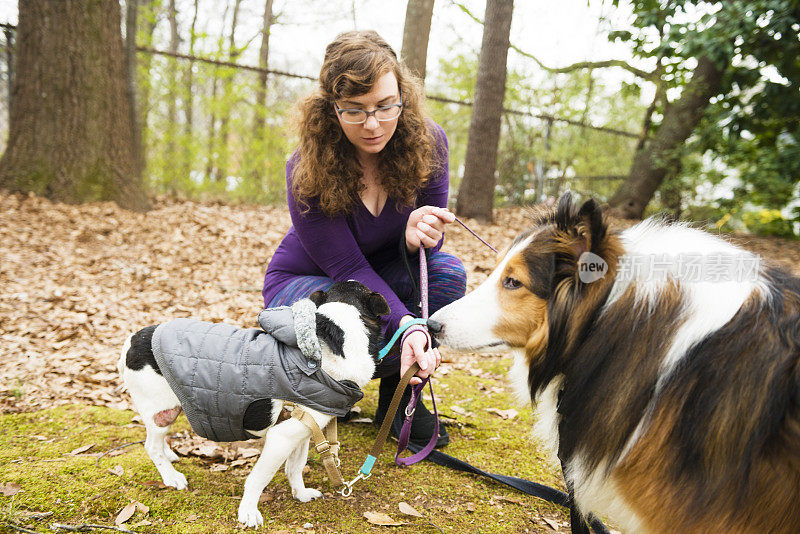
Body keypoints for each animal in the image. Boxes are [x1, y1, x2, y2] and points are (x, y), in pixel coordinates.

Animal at [119, 282, 390, 528]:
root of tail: (132, 340)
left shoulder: (303, 432)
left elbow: (295, 467)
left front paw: (300, 494)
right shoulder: (281, 438)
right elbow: (259, 478)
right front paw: (248, 512)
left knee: (157, 441)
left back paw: (169, 456)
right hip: (161, 411)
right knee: (151, 445)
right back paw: (170, 476)